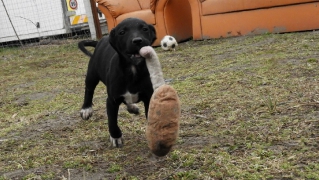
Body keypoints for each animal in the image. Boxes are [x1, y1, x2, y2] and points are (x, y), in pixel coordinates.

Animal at [79, 17, 156, 148]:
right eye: (122, 32)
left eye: (145, 29)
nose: (137, 40)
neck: (132, 69)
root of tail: (100, 41)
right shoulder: (111, 101)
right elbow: (112, 121)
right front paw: (116, 137)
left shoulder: (148, 97)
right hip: (92, 75)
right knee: (89, 89)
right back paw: (86, 109)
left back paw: (132, 107)